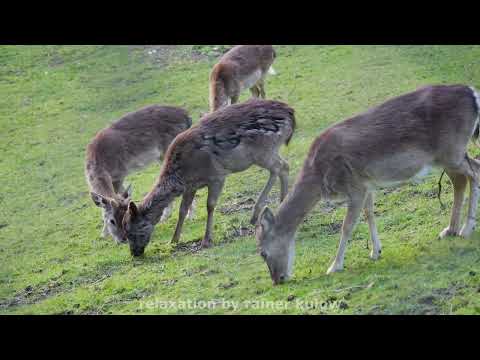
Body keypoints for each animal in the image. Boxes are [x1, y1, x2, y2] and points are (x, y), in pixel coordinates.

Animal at [86, 105, 193, 243]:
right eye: (112, 221)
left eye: (123, 217)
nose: (123, 239)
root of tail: (187, 116)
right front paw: (103, 234)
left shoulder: (119, 174)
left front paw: (104, 234)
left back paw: (187, 215)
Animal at [122, 98, 294, 256]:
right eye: (125, 230)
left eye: (133, 231)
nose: (135, 253)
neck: (182, 174)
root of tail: (291, 114)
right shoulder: (190, 187)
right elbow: (182, 210)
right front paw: (174, 240)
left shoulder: (217, 175)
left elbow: (210, 205)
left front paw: (206, 240)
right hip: (266, 152)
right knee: (283, 167)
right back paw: (280, 203)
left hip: (263, 150)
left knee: (280, 167)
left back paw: (258, 213)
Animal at [255, 84, 480, 284]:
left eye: (263, 253)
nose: (277, 280)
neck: (318, 178)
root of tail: (473, 93)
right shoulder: (367, 185)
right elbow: (369, 214)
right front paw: (376, 251)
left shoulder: (355, 186)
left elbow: (347, 226)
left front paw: (334, 266)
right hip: (448, 155)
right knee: (464, 176)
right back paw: (449, 230)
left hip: (452, 151)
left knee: (473, 174)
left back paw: (466, 228)